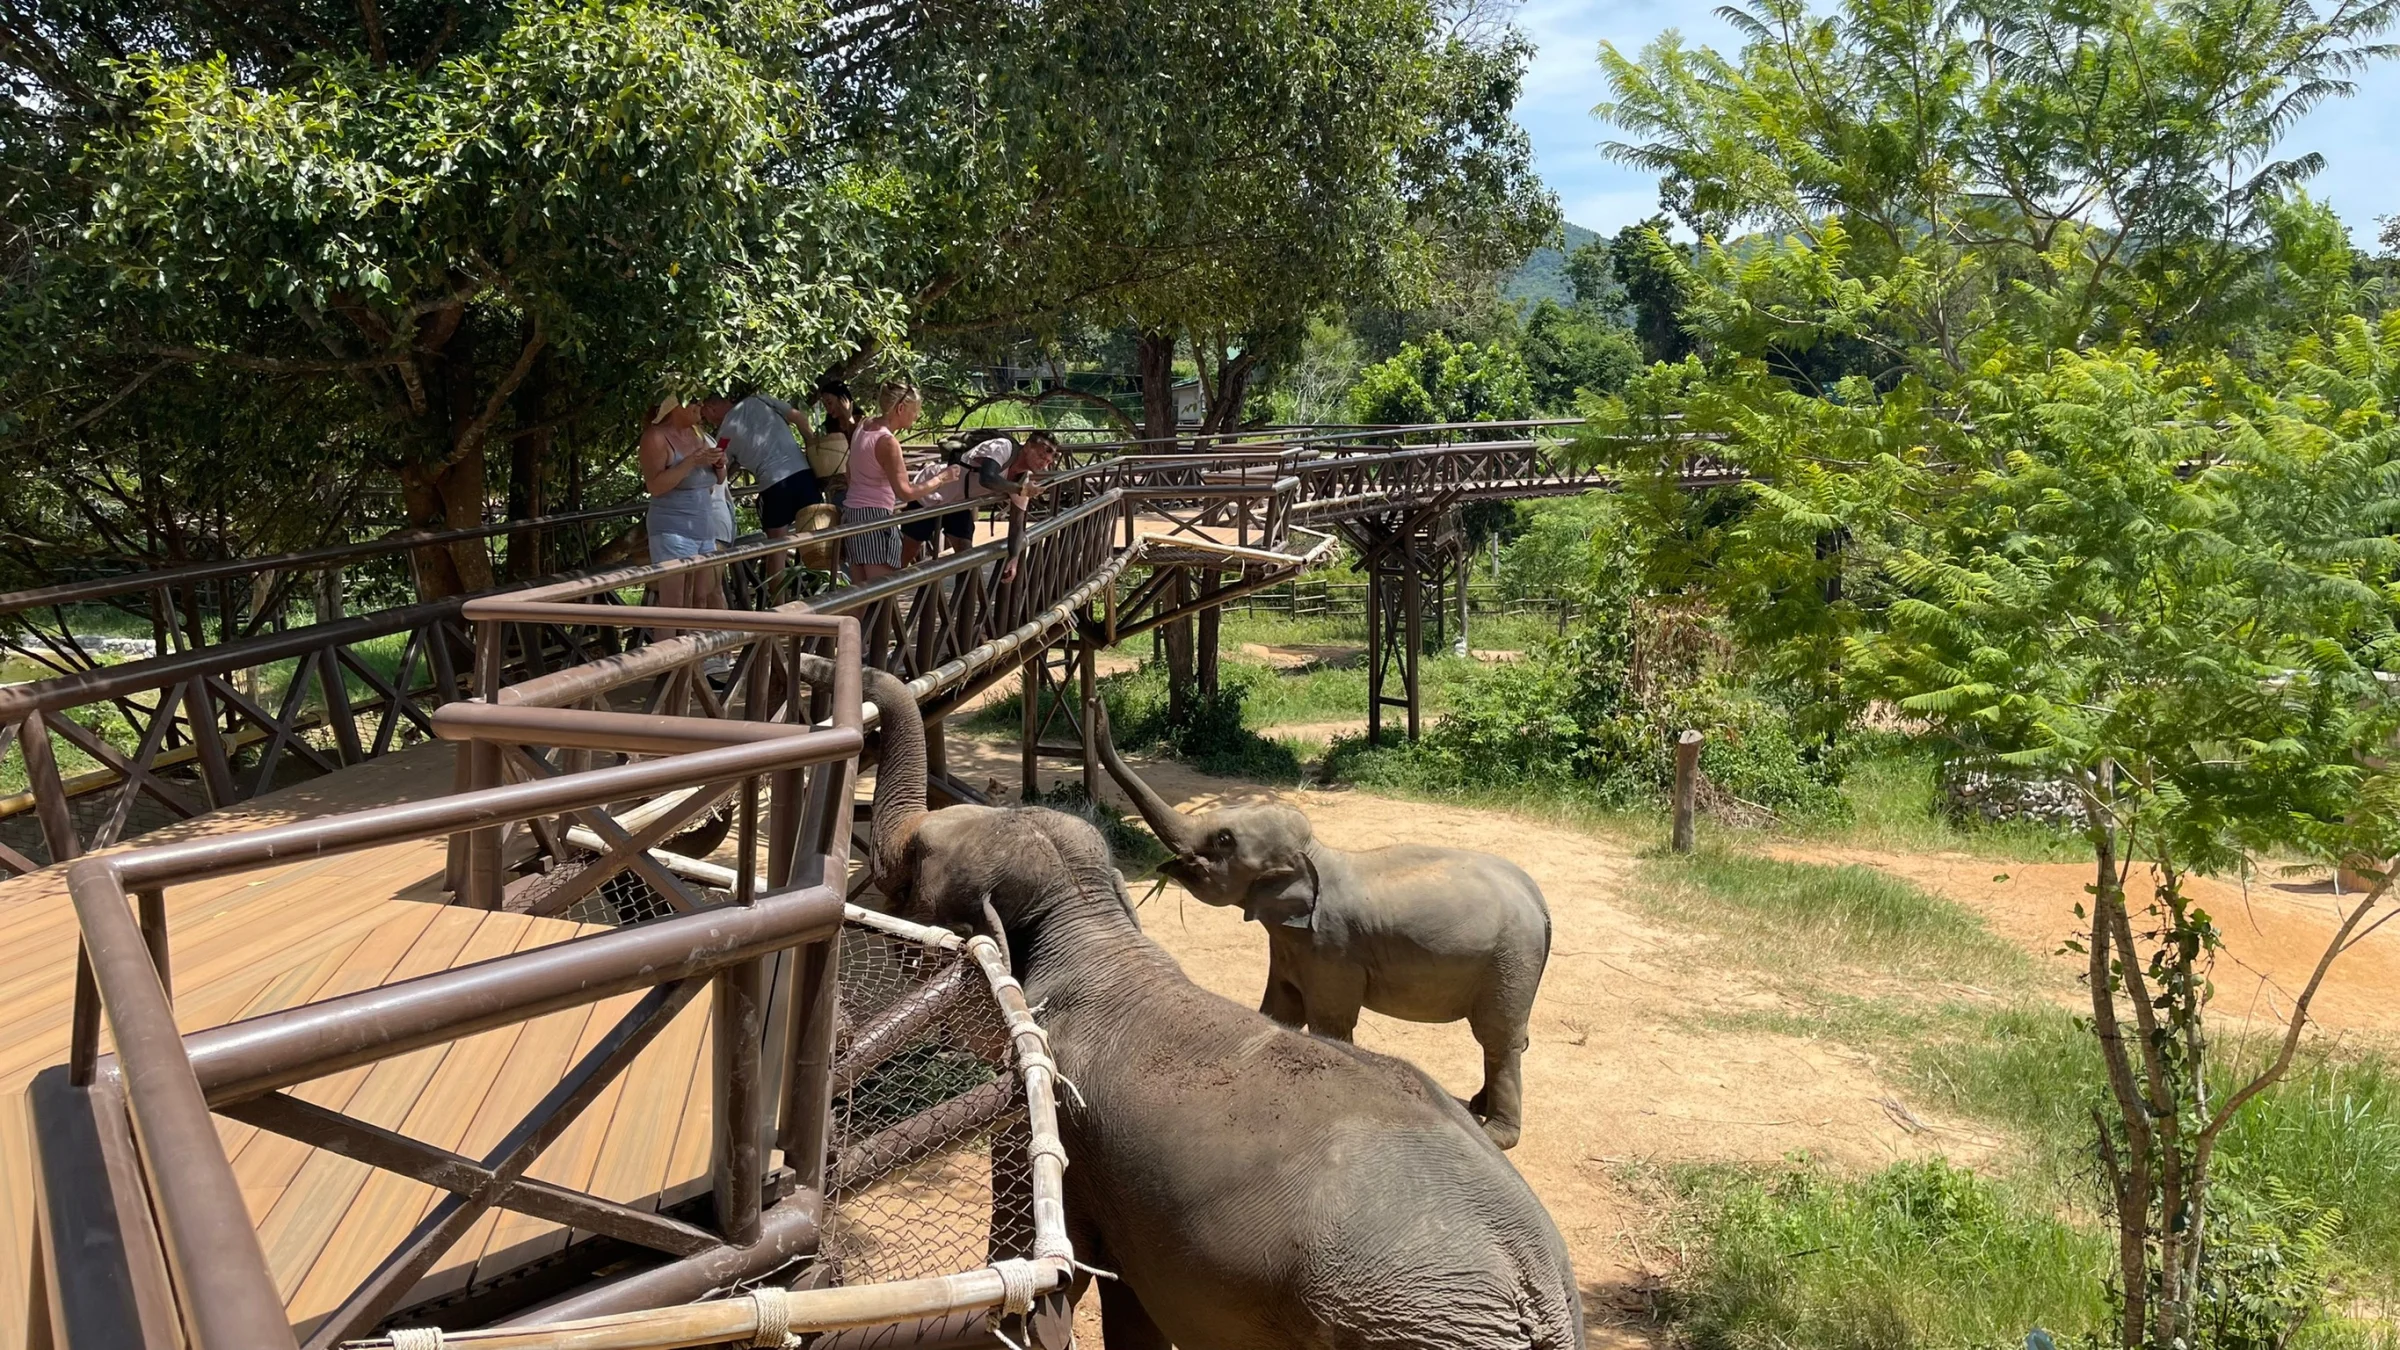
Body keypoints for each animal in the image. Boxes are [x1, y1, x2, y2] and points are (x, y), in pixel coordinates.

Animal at [1093, 705, 1551, 1149]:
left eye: (1224, 840)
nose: (1096, 705)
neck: (1317, 855)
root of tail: (1540, 903)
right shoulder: (1290, 950)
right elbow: (1280, 1010)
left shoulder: (1334, 949)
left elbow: (1330, 1024)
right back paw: (1477, 1104)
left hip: (1510, 961)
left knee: (1498, 1036)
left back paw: (1495, 1133)